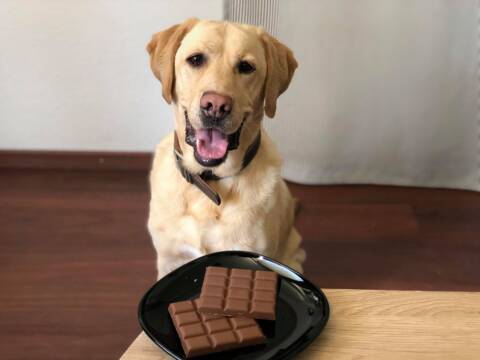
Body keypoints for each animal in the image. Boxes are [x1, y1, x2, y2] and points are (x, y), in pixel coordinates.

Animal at [145, 19, 308, 278]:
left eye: (246, 67)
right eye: (195, 59)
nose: (216, 106)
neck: (209, 181)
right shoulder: (169, 259)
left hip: (294, 256)